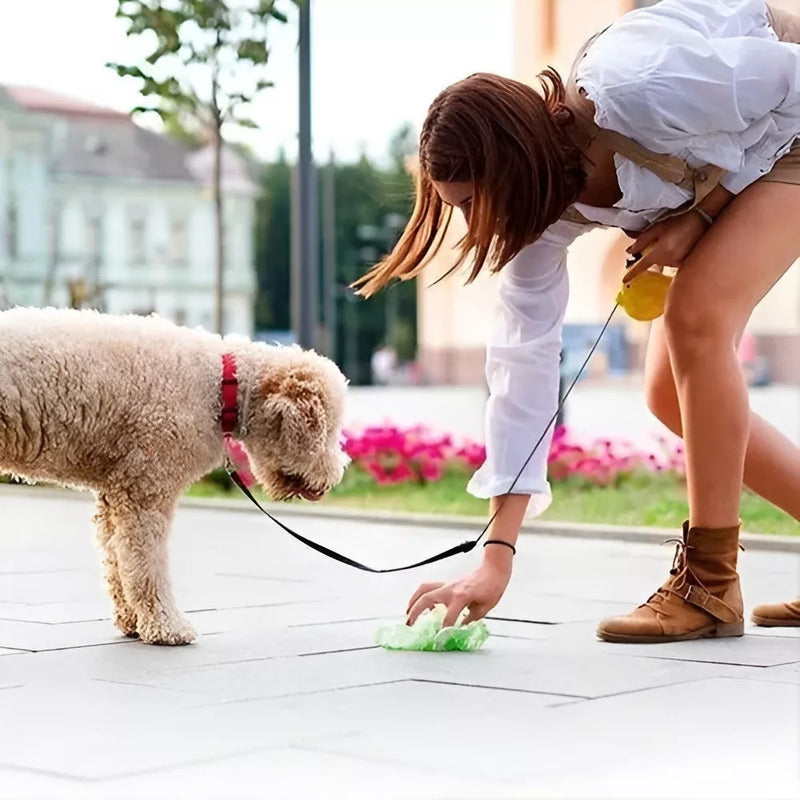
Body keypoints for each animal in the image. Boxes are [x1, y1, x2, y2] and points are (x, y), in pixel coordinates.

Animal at [0, 306, 350, 644]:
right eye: (327, 430)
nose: (334, 478)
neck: (223, 386)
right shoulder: (148, 486)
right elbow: (147, 565)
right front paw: (167, 628)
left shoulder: (115, 491)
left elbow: (117, 562)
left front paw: (132, 622)